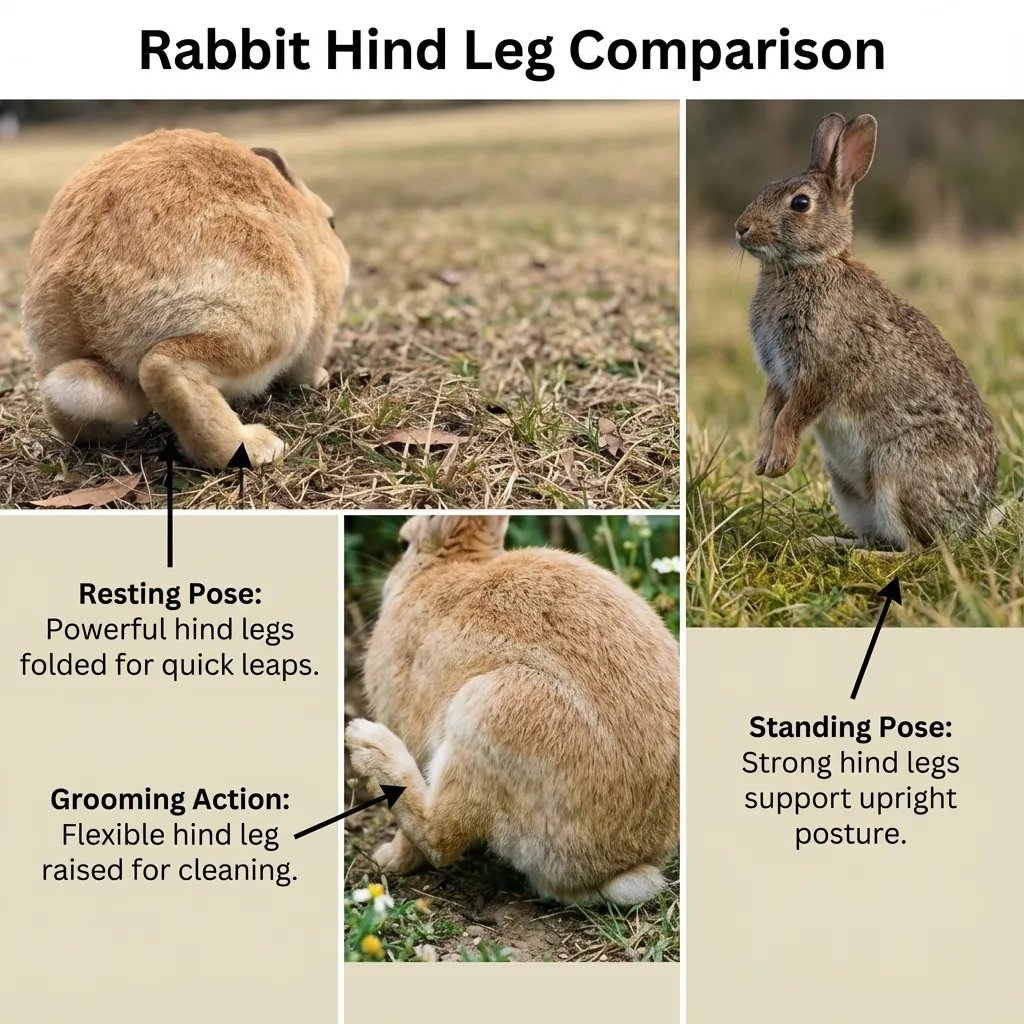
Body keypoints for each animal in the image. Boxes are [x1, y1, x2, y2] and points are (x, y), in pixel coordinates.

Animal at [21, 128, 349, 469]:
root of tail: (75, 298)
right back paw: (257, 446)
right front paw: (319, 378)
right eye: (333, 223)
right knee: (165, 368)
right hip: (277, 314)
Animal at [344, 515, 680, 906]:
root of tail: (617, 867)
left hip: (486, 713)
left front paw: (391, 859)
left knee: (442, 837)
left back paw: (368, 745)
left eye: (402, 544)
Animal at [734, 112, 999, 550]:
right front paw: (762, 459)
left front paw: (779, 462)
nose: (741, 228)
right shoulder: (779, 374)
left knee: (918, 549)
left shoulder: (821, 369)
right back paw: (827, 544)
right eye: (767, 187)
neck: (807, 266)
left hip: (897, 471)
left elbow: (791, 414)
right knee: (880, 537)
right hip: (847, 489)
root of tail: (972, 522)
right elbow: (769, 412)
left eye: (800, 203)